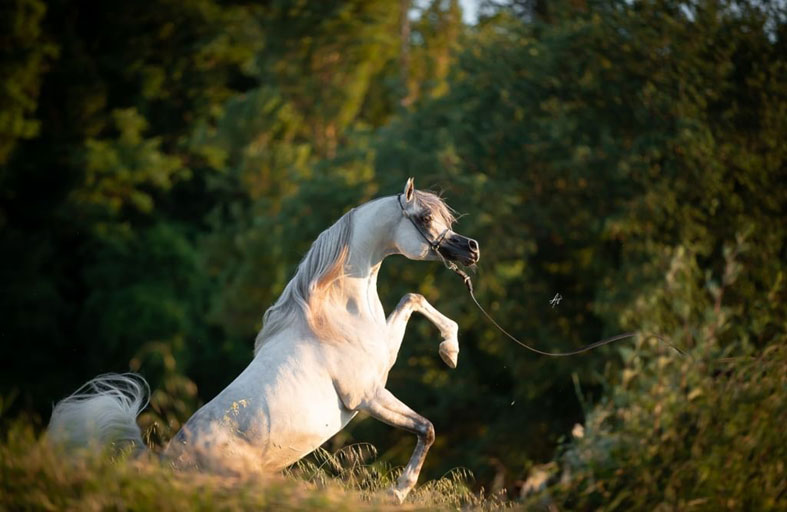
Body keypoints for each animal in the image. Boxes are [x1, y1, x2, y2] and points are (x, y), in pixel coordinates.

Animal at [50, 178, 480, 502]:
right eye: (425, 216)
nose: (471, 249)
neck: (332, 313)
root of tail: (163, 460)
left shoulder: (383, 359)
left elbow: (413, 298)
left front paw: (450, 352)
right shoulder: (369, 396)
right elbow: (427, 428)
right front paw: (396, 493)